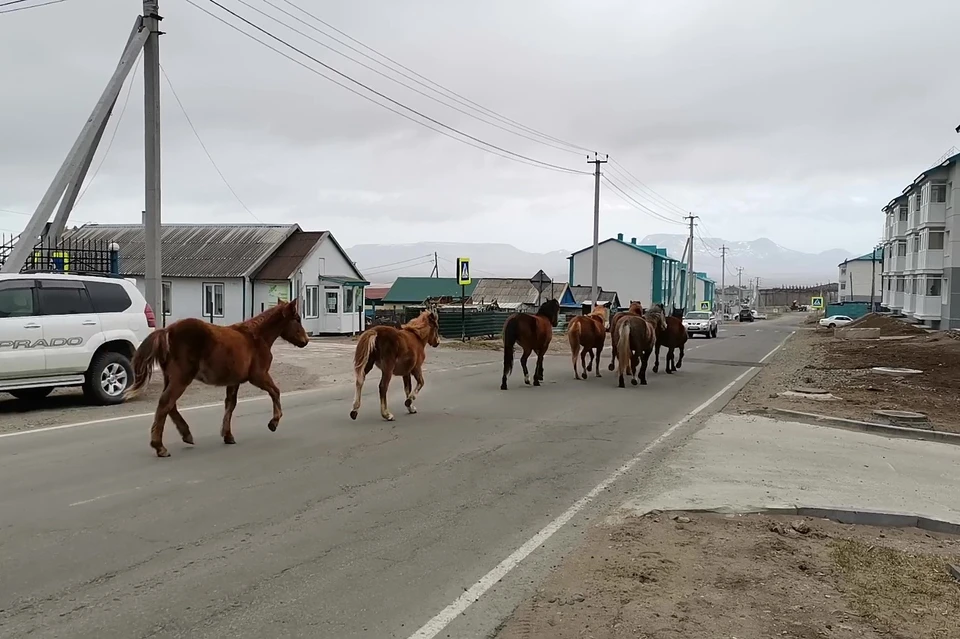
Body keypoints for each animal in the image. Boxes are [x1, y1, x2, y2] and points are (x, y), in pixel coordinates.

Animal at [125, 298, 310, 458]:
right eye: (297, 319)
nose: (306, 340)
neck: (256, 337)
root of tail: (167, 331)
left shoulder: (234, 381)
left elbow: (230, 404)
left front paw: (228, 435)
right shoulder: (258, 376)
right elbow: (275, 392)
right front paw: (273, 422)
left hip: (170, 378)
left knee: (170, 405)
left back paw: (186, 435)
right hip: (181, 378)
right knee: (166, 403)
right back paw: (160, 447)